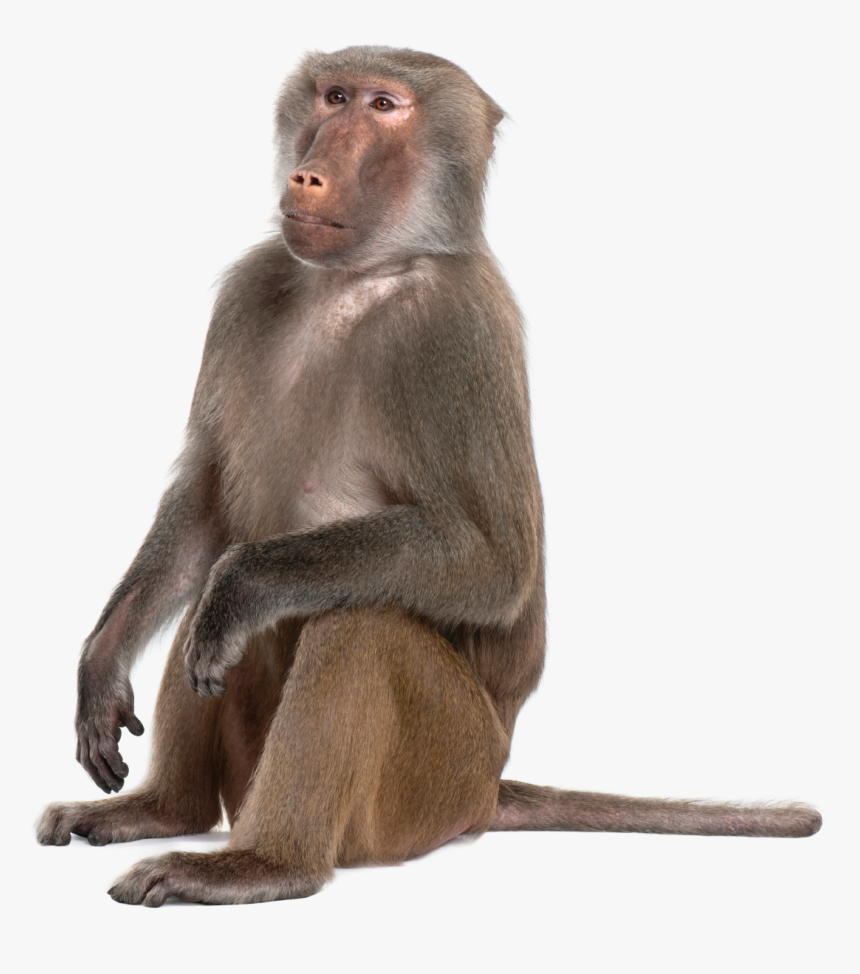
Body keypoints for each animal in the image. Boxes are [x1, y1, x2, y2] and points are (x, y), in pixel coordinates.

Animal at [37, 46, 821, 907]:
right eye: (334, 96)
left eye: (385, 106)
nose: (310, 174)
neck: (359, 275)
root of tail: (487, 788)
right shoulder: (250, 288)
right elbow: (207, 507)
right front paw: (102, 666)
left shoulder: (455, 330)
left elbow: (493, 563)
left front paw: (247, 584)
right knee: (210, 605)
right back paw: (164, 811)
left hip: (431, 783)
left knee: (359, 622)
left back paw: (264, 864)